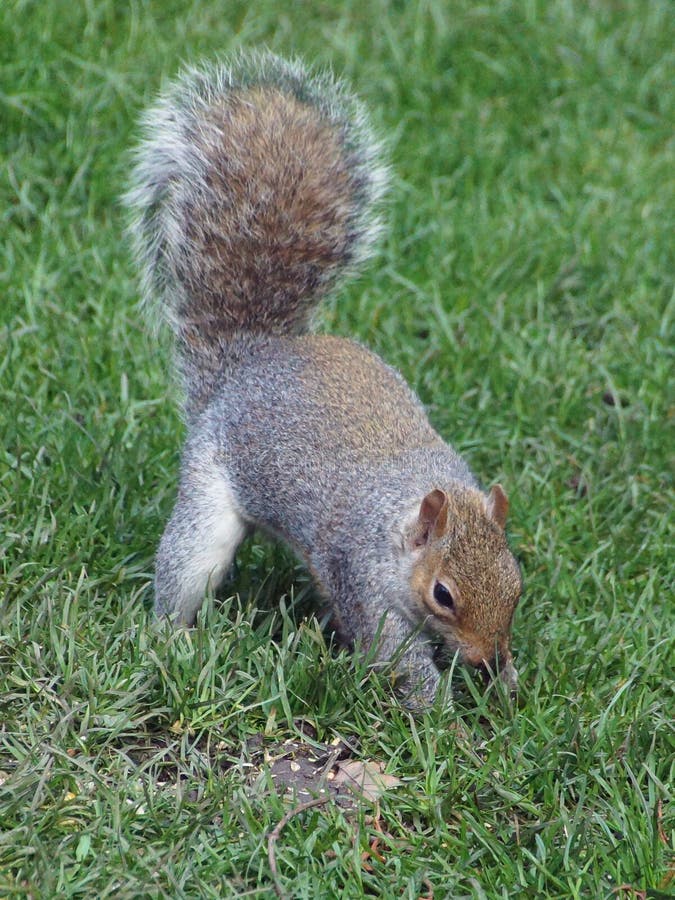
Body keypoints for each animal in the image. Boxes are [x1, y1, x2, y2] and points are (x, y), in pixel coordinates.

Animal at [125, 50, 522, 707]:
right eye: (443, 595)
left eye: (517, 585)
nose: (485, 660)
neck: (401, 517)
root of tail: (251, 360)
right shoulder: (362, 577)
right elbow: (396, 655)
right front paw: (449, 719)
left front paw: (509, 683)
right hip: (208, 492)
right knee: (186, 569)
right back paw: (168, 636)